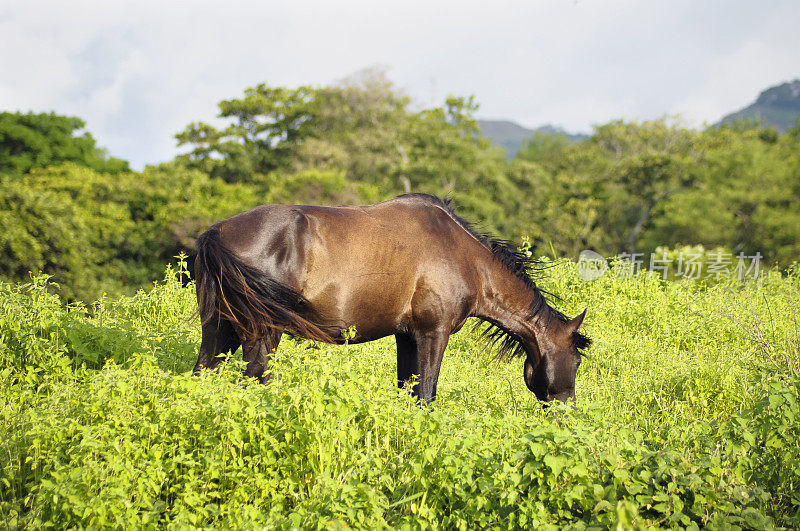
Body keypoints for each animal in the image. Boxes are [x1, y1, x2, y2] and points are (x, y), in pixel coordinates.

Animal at [193, 193, 592, 406]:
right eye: (576, 360)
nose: (567, 411)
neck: (464, 257)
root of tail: (217, 231)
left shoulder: (407, 337)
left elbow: (407, 390)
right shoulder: (433, 334)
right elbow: (426, 394)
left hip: (218, 330)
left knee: (202, 373)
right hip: (261, 334)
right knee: (253, 378)